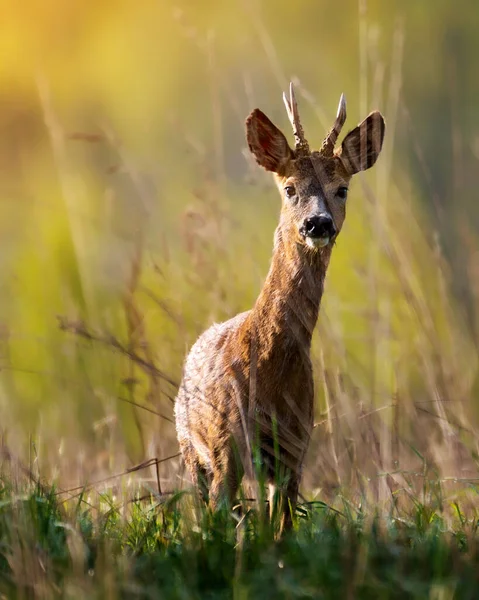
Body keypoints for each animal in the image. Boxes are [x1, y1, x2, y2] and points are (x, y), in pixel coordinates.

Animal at [174, 83, 384, 524]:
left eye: (342, 189)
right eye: (290, 188)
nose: (317, 223)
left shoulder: (294, 450)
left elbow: (280, 531)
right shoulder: (225, 447)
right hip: (190, 446)